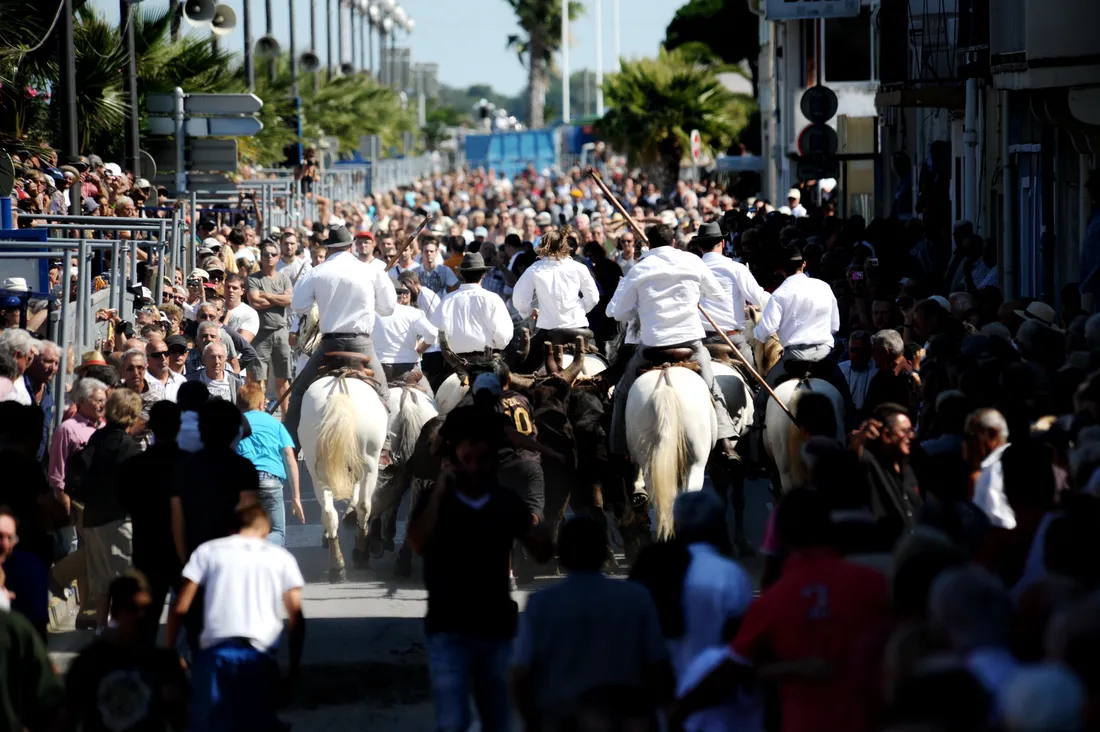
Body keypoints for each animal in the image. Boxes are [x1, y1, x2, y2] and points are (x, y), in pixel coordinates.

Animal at [299, 374, 389, 581]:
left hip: (319, 471)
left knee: (329, 512)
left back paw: (337, 564)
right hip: (370, 465)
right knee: (365, 506)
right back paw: (359, 555)